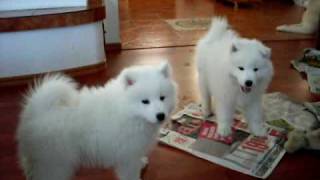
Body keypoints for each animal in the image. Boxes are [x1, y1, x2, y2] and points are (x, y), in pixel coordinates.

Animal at [16, 62, 178, 180]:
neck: (128, 111)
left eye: (162, 98)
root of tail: (37, 110)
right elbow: (130, 173)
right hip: (55, 161)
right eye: (145, 101)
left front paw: (142, 162)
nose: (160, 115)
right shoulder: (127, 156)